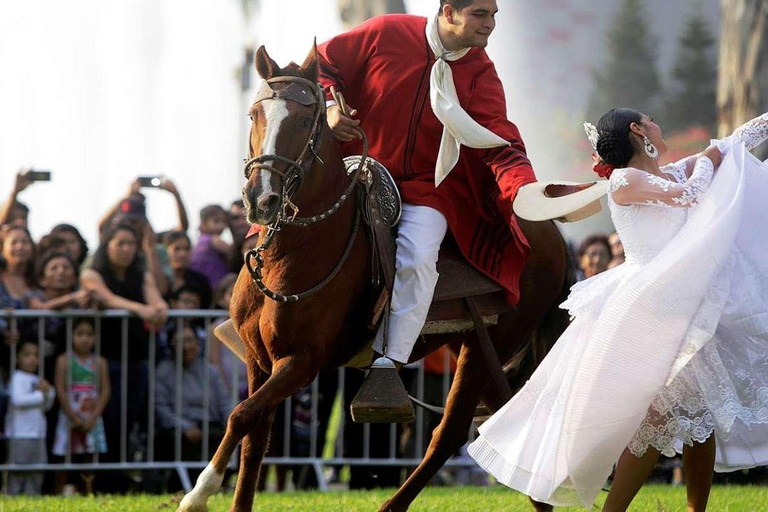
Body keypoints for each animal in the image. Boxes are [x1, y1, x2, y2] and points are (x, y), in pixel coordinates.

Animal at [180, 44, 572, 512]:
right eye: (255, 114)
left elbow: (241, 416)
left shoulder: (300, 363)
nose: (261, 199)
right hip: (474, 344)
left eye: (303, 121)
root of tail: (552, 232)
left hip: (487, 345)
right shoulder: (258, 360)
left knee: (452, 431)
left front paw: (199, 491)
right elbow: (254, 439)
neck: (296, 249)